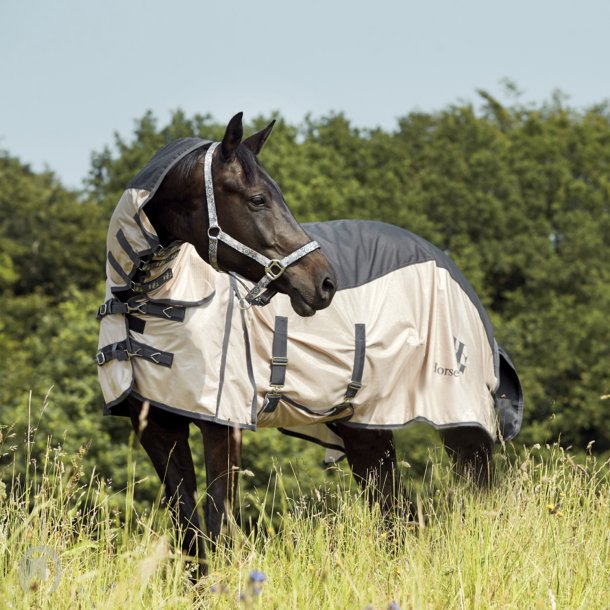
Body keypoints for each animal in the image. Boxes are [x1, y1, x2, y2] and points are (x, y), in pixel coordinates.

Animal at [96, 111, 524, 572]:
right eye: (258, 199)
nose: (324, 282)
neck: (157, 303)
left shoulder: (224, 424)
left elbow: (218, 525)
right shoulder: (159, 429)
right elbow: (191, 532)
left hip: (462, 424)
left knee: (478, 503)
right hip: (366, 428)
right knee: (395, 516)